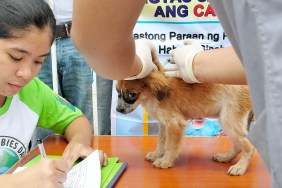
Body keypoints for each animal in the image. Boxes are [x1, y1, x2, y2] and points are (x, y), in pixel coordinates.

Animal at [115, 49, 254, 176]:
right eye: (117, 92)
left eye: (131, 94)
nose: (118, 110)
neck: (152, 96)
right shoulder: (164, 123)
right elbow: (161, 141)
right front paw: (157, 154)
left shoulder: (175, 123)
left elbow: (170, 145)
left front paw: (165, 161)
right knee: (238, 146)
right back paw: (225, 157)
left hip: (229, 120)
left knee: (249, 147)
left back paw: (240, 167)